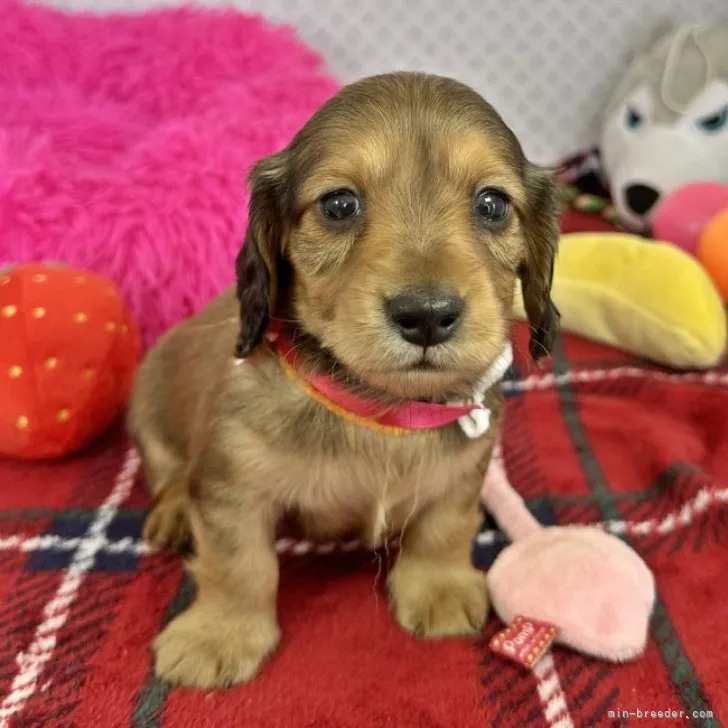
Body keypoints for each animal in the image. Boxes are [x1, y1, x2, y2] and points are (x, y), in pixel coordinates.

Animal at [128, 72, 556, 688]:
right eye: (339, 205)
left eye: (493, 204)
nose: (427, 315)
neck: (380, 410)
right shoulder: (233, 486)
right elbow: (239, 565)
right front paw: (218, 635)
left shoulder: (462, 473)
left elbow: (445, 526)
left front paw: (440, 588)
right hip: (150, 413)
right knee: (166, 474)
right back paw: (172, 513)